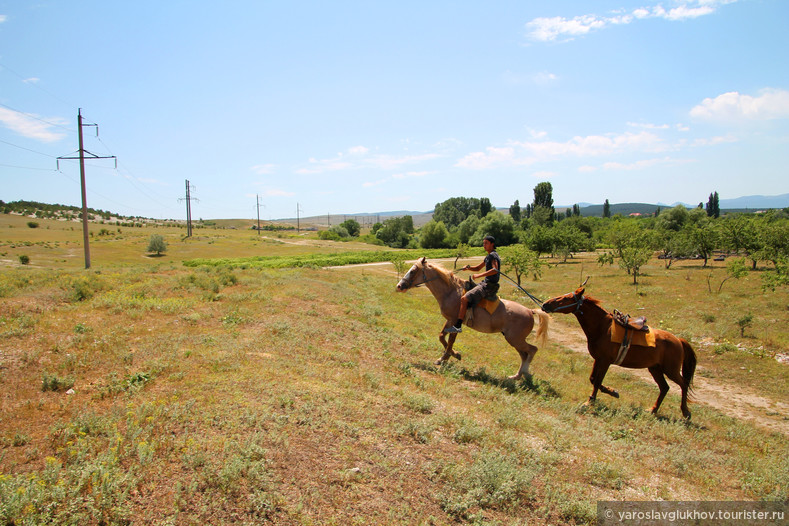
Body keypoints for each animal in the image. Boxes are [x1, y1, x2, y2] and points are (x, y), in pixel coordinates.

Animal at [394, 258, 548, 380]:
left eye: (413, 271)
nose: (399, 286)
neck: (451, 292)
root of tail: (530, 311)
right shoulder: (450, 321)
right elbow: (442, 337)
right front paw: (455, 355)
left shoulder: (455, 322)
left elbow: (450, 340)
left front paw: (444, 358)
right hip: (514, 340)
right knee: (524, 355)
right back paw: (516, 376)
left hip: (515, 339)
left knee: (532, 350)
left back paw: (524, 373)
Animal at [540, 288, 696, 420]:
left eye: (566, 298)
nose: (545, 304)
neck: (603, 328)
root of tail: (679, 340)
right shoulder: (598, 359)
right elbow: (593, 379)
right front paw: (612, 391)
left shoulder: (605, 361)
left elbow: (597, 380)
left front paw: (590, 401)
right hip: (655, 368)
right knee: (665, 388)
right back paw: (652, 410)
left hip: (670, 370)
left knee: (683, 384)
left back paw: (686, 412)